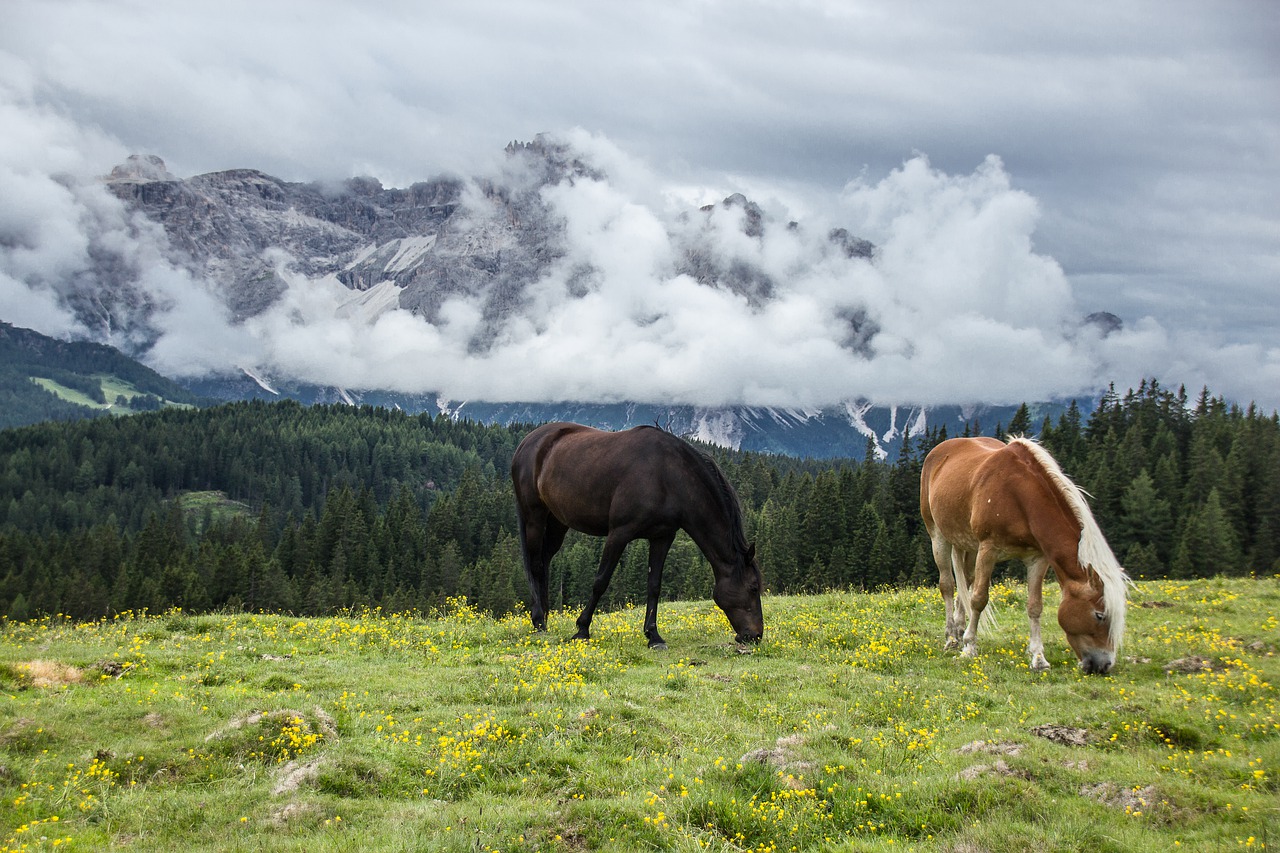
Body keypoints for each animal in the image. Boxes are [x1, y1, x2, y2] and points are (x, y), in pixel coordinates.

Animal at [512, 422, 762, 648]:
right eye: (753, 587)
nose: (755, 635)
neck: (667, 476)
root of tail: (528, 442)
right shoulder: (619, 533)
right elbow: (600, 581)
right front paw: (582, 629)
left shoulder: (662, 537)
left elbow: (654, 586)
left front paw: (654, 636)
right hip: (534, 517)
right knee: (536, 565)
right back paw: (538, 622)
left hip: (558, 522)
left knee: (544, 561)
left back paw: (545, 619)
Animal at [921, 438, 1131, 671]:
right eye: (1099, 615)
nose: (1104, 665)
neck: (1019, 496)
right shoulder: (988, 550)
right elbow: (978, 599)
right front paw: (969, 648)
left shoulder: (1037, 559)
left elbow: (1034, 606)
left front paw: (1038, 657)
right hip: (938, 535)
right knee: (948, 585)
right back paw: (951, 638)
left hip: (969, 546)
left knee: (964, 582)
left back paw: (958, 631)